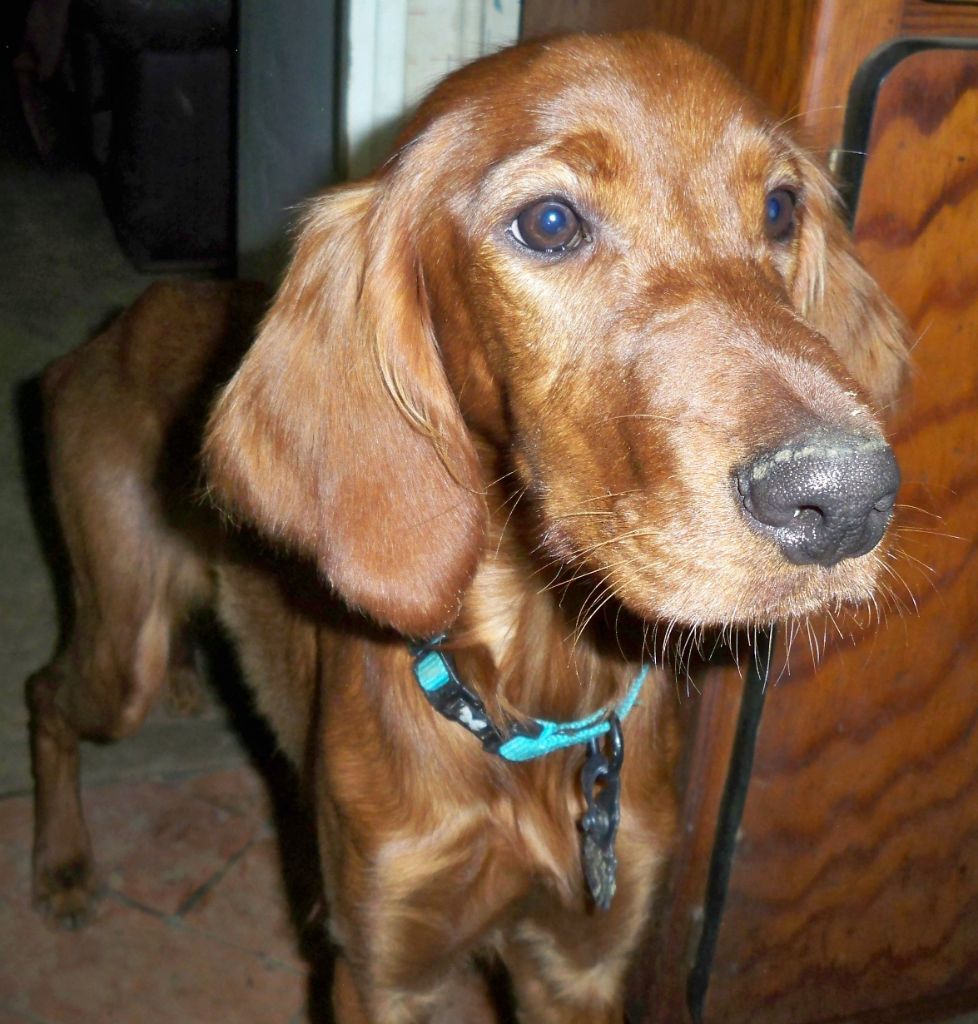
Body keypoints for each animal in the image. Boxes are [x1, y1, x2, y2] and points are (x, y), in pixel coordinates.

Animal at [28, 31, 908, 1023]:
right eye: (551, 223)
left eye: (780, 207)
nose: (845, 500)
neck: (532, 698)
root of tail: (112, 328)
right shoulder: (380, 966)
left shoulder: (580, 964)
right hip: (119, 648)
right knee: (46, 694)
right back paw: (62, 863)